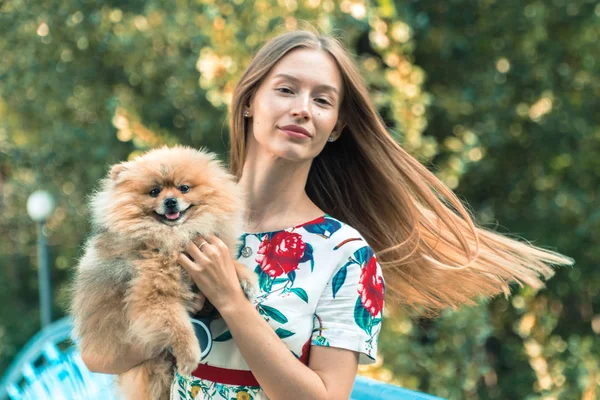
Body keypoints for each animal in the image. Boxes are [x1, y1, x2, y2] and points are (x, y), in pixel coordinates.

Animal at [71, 146, 258, 400]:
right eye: (154, 191)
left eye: (184, 188)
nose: (170, 201)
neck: (174, 236)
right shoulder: (153, 296)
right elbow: (178, 326)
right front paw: (190, 356)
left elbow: (230, 263)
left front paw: (246, 279)